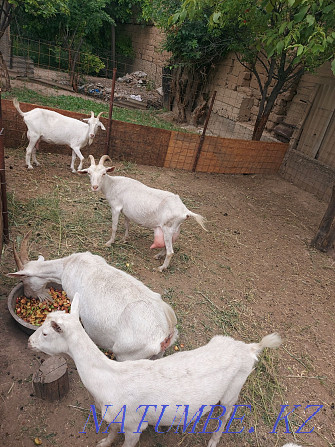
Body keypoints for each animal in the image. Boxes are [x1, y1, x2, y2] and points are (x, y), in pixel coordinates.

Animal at [7, 233, 178, 362]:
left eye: (23, 280)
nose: (28, 295)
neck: (67, 266)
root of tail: (165, 333)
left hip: (128, 355)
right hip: (158, 355)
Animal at [28, 294, 280, 447]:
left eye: (45, 333)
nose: (29, 342)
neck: (109, 379)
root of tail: (250, 348)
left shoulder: (134, 425)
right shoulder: (113, 416)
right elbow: (111, 431)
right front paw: (103, 442)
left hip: (234, 389)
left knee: (227, 414)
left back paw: (213, 440)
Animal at [80, 156, 209, 272]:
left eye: (104, 173)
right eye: (89, 173)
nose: (95, 187)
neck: (113, 185)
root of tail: (185, 211)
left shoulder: (115, 208)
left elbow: (114, 227)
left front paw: (109, 243)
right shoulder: (126, 212)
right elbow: (127, 225)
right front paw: (124, 239)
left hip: (167, 228)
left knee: (170, 252)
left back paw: (161, 268)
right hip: (175, 229)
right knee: (169, 245)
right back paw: (158, 255)